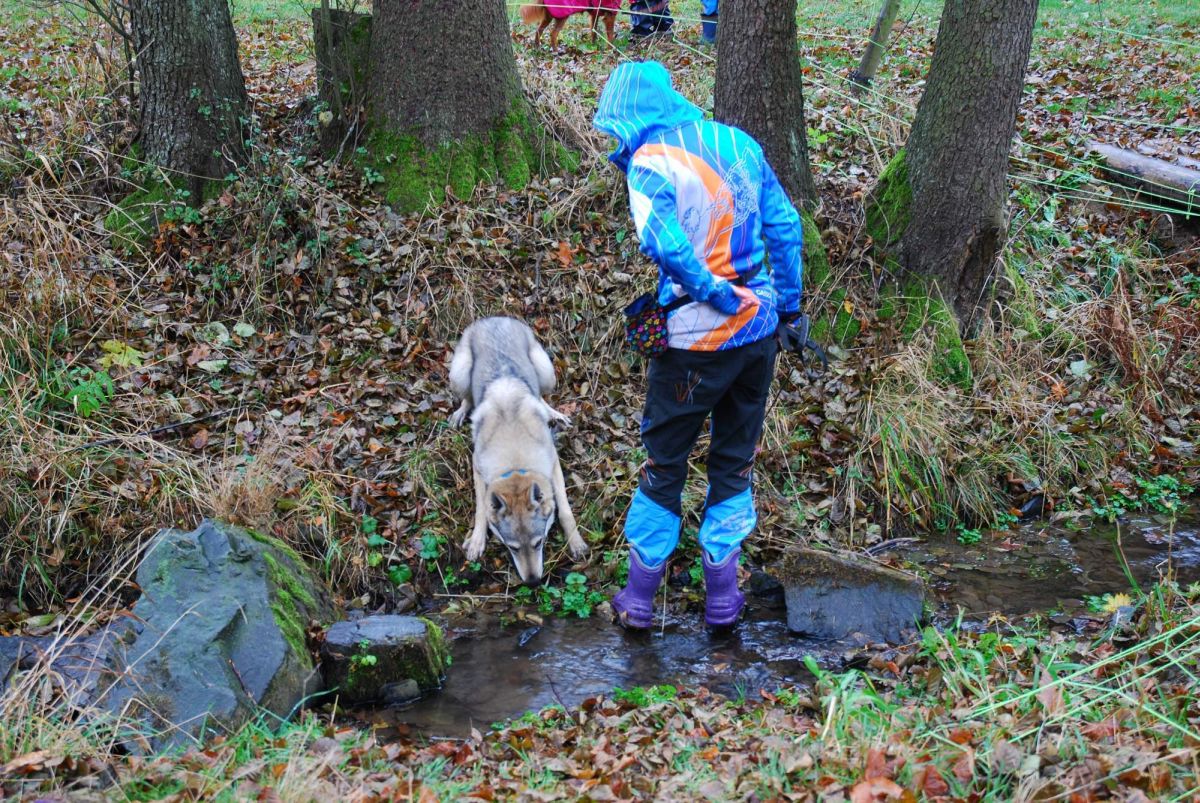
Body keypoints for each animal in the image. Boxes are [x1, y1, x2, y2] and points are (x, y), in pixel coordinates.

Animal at [446, 316, 585, 585]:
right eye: (512, 548)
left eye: (539, 543)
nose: (533, 582)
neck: (515, 463)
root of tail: (493, 318)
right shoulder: (477, 468)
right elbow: (481, 511)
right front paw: (477, 541)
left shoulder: (554, 464)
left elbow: (565, 510)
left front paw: (576, 542)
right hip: (459, 373)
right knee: (467, 399)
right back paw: (461, 413)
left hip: (545, 371)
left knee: (541, 397)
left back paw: (554, 414)